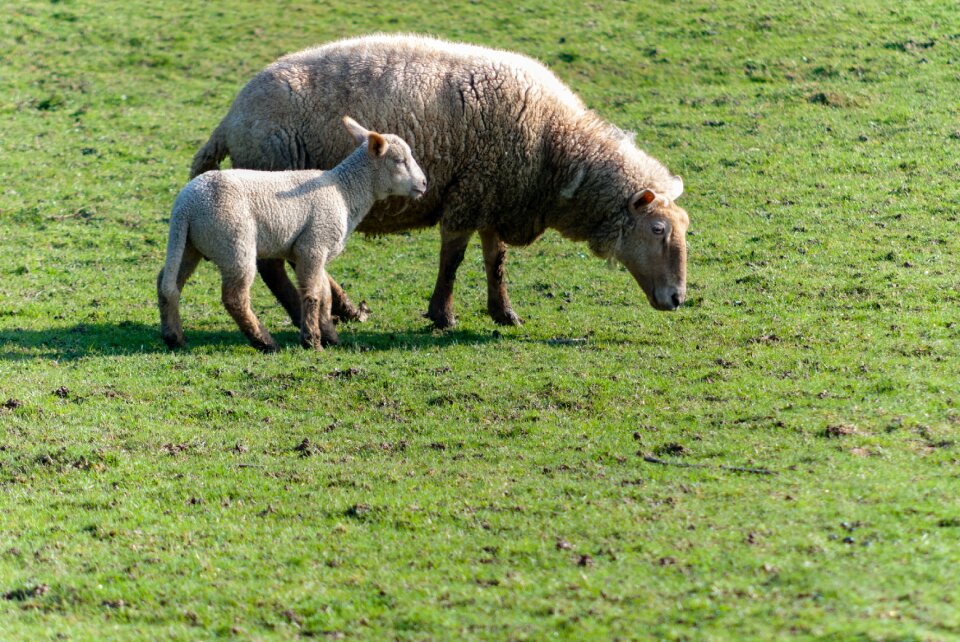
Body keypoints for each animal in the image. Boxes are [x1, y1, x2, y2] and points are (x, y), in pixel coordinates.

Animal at [158, 117, 428, 352]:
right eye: (399, 160)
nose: (424, 183)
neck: (345, 191)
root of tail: (186, 204)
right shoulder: (313, 245)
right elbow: (312, 294)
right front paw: (312, 341)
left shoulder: (314, 250)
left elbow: (325, 295)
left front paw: (330, 336)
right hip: (233, 242)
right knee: (235, 298)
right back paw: (265, 342)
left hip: (189, 244)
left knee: (168, 283)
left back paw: (174, 337)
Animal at [189, 32, 688, 328]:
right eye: (657, 229)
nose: (678, 298)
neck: (556, 147)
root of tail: (231, 118)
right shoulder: (470, 193)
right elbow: (453, 260)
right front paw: (443, 315)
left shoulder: (495, 194)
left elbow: (495, 261)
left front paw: (503, 312)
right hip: (275, 184)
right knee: (277, 264)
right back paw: (308, 312)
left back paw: (342, 309)